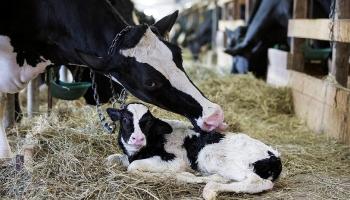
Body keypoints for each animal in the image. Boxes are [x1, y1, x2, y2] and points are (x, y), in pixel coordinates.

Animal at [106, 103, 282, 200]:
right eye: (125, 120)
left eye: (147, 122)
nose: (137, 138)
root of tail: (275, 157)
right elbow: (113, 158)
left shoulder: (175, 161)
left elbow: (133, 167)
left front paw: (168, 176)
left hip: (210, 155)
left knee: (257, 182)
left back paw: (209, 189)